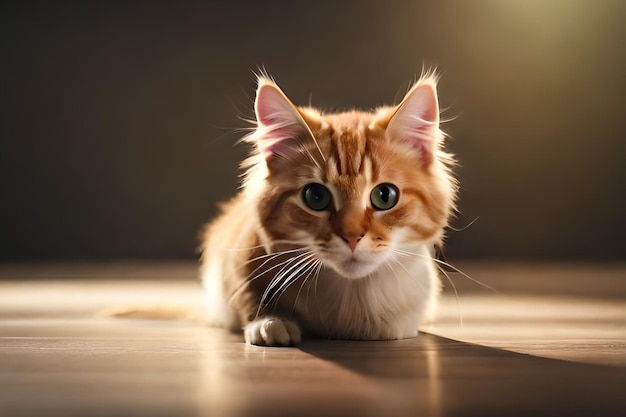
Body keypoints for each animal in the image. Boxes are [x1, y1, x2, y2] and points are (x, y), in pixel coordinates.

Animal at [200, 72, 454, 344]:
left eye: (385, 196)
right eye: (316, 197)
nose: (352, 237)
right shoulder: (236, 254)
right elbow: (245, 291)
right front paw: (269, 321)